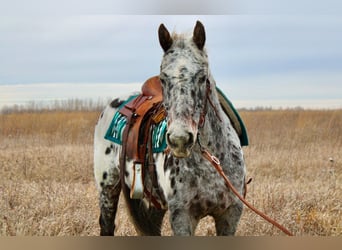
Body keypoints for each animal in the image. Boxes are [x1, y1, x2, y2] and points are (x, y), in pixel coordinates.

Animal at [93, 20, 246, 235]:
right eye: (163, 79)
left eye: (202, 77)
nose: (179, 140)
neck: (211, 161)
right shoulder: (182, 216)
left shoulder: (230, 215)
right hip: (107, 189)